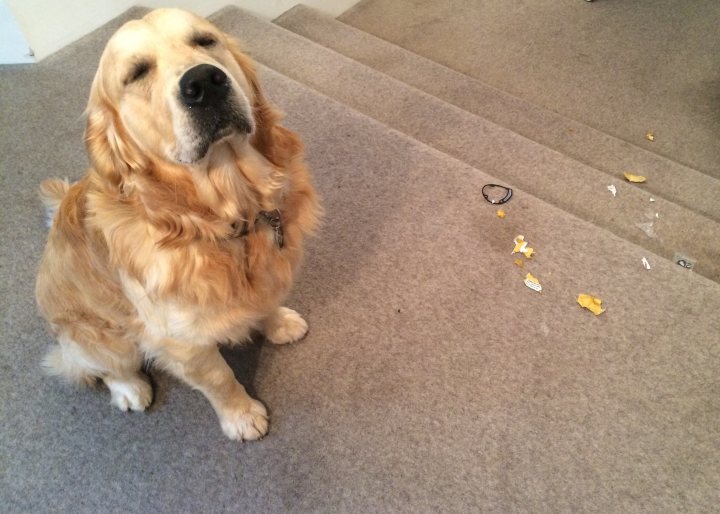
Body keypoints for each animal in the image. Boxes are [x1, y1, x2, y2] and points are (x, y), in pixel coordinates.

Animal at [34, 8, 320, 440]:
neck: (221, 218)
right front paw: (241, 416)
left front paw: (278, 321)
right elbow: (219, 379)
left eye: (205, 40)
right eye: (137, 73)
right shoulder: (181, 343)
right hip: (100, 338)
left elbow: (265, 301)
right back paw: (130, 388)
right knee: (97, 367)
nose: (204, 81)